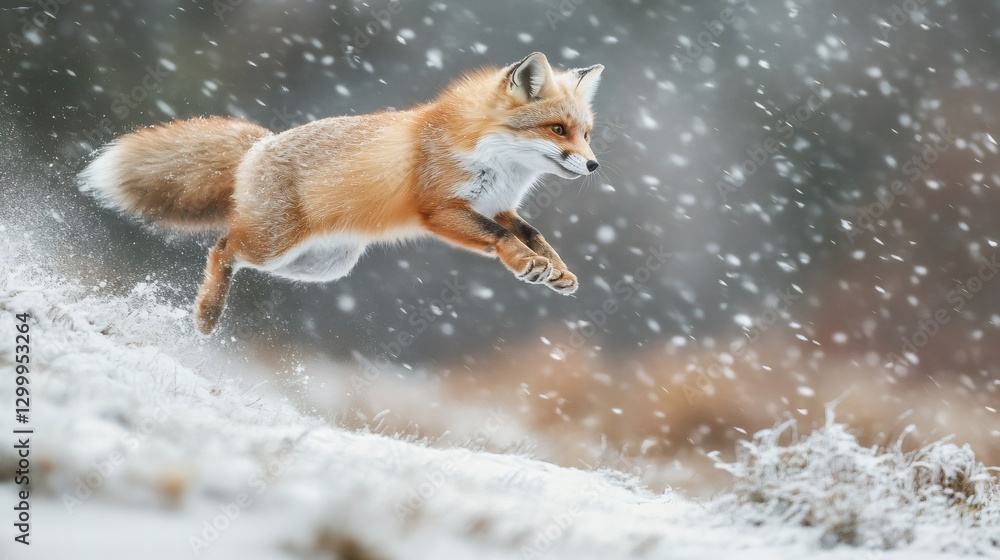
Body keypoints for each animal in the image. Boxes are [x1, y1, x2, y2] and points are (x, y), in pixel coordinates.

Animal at [78, 52, 604, 335]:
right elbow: (501, 238)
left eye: (586, 134)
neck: (496, 162)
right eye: (557, 129)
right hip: (275, 245)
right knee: (221, 247)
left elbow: (533, 234)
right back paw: (207, 315)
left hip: (319, 265)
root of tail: (260, 144)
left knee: (229, 251)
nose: (594, 165)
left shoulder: (498, 205)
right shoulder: (439, 208)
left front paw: (557, 271)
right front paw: (527, 265)